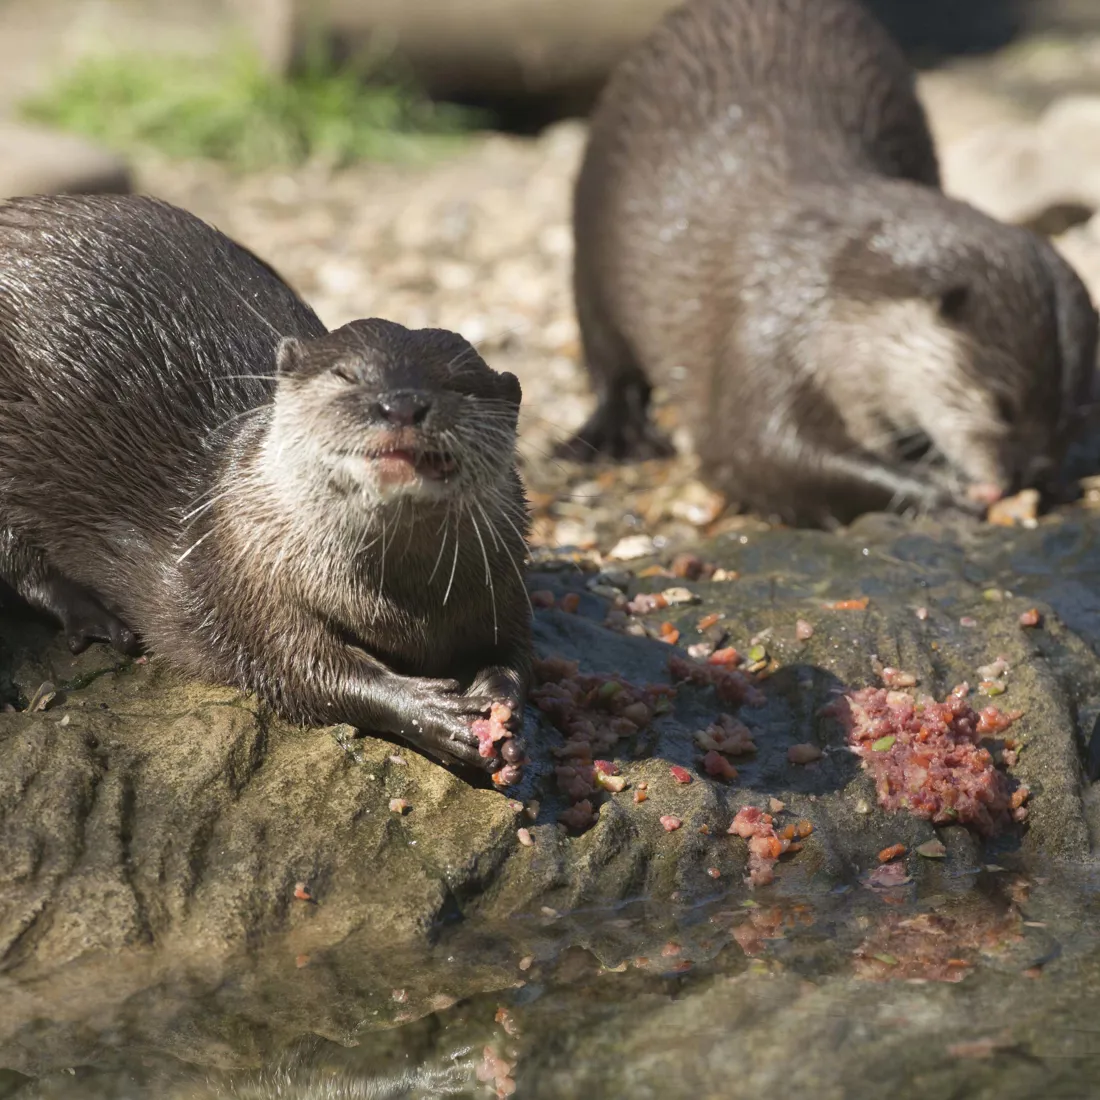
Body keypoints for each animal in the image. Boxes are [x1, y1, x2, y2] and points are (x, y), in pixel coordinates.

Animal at [0, 194, 531, 775]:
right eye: (345, 375)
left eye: (460, 386)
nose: (402, 404)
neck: (404, 606)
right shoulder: (243, 576)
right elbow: (305, 671)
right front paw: (430, 713)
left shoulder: (508, 581)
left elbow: (516, 654)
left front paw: (501, 703)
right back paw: (94, 617)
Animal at [560, 0, 1099, 527]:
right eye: (1002, 405)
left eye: (1074, 419)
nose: (1030, 474)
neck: (830, 294)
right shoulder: (761, 338)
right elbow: (758, 450)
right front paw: (936, 494)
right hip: (594, 218)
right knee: (603, 344)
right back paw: (613, 432)